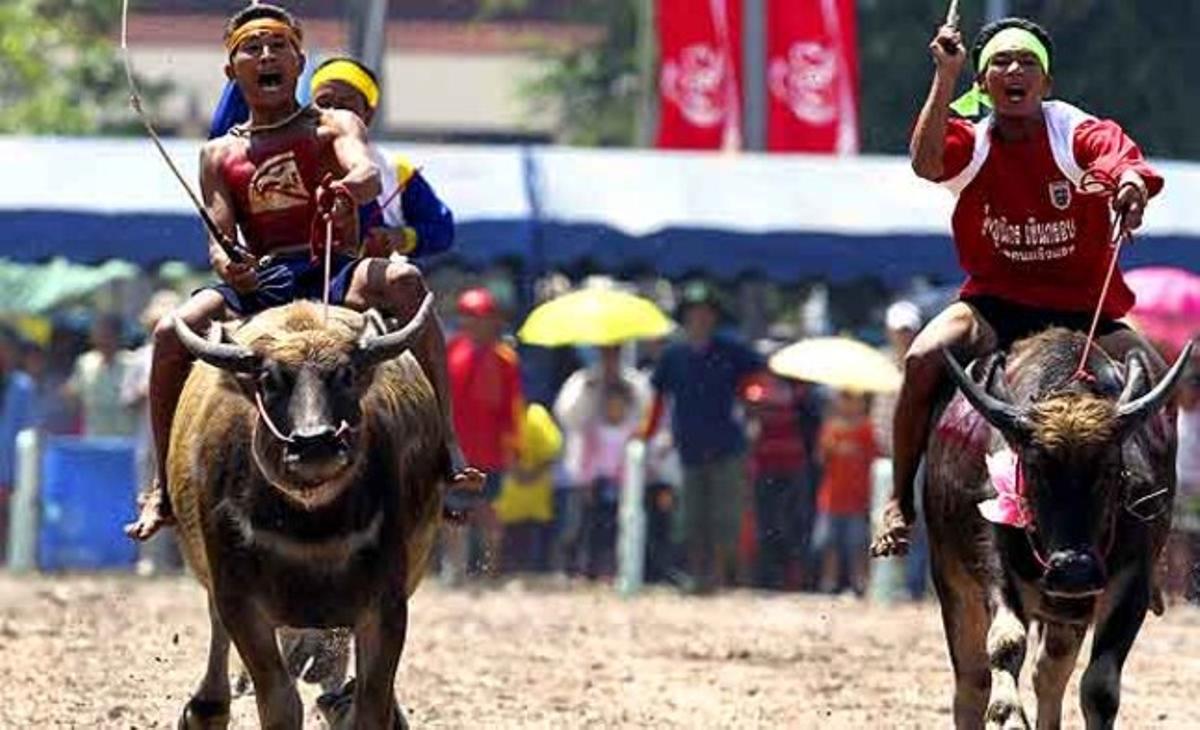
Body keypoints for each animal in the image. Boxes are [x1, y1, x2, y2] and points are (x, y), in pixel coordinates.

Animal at [921, 331, 1185, 730]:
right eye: (1033, 468)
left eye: (1110, 469)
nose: (1073, 571)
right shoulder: (992, 565)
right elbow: (1006, 642)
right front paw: (1008, 715)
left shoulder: (1133, 580)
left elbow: (1100, 687)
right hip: (954, 584)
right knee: (971, 682)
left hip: (1066, 613)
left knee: (1048, 672)